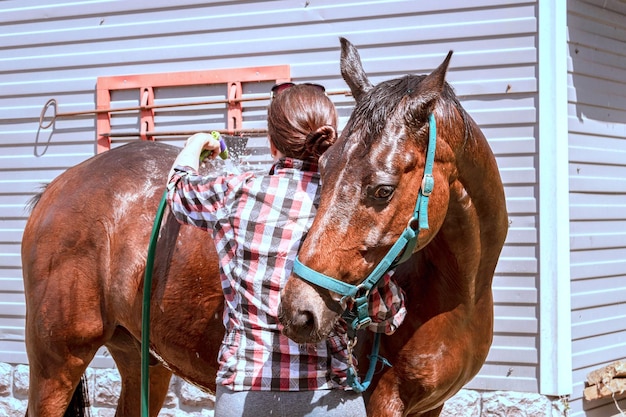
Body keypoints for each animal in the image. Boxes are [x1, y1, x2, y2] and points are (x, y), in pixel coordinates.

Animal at [278, 36, 508, 416]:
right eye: (323, 169)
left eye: (383, 190)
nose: (299, 311)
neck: (461, 299)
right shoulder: (384, 402)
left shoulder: (432, 405)